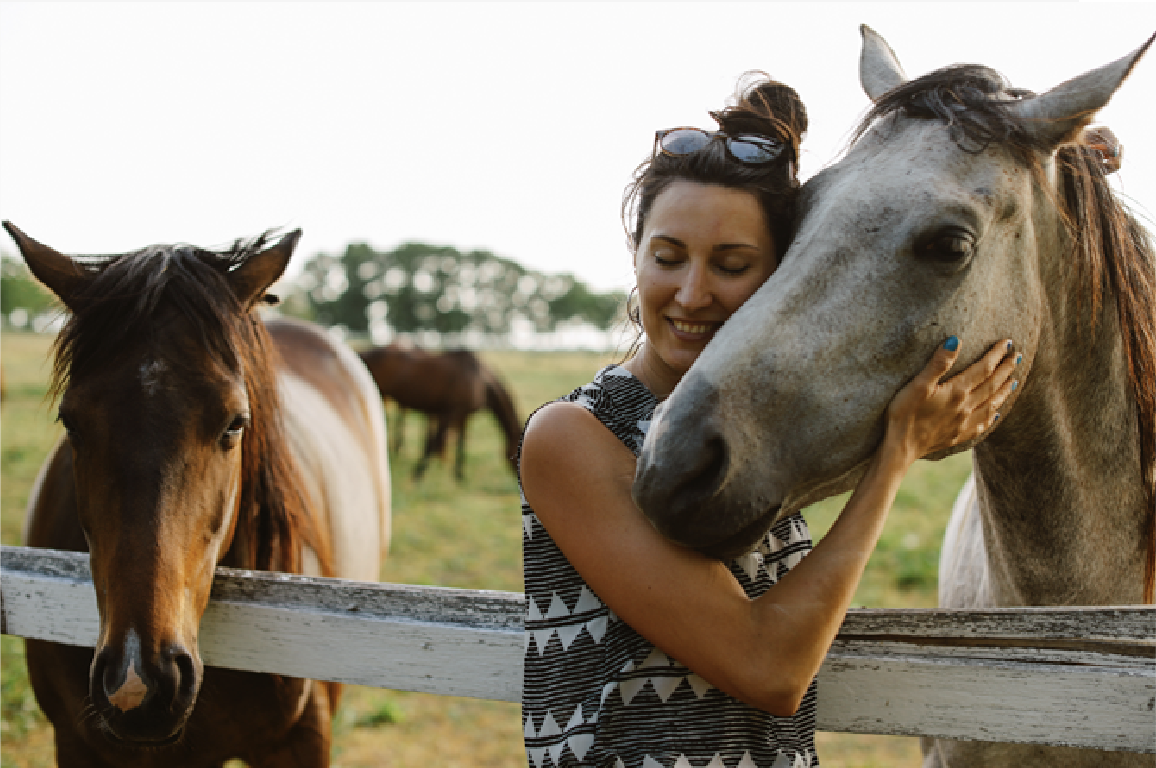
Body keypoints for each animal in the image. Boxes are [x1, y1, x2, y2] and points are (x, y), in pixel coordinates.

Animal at [359, 343, 521, 481]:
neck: (479, 380)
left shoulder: (464, 416)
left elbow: (461, 443)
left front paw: (459, 476)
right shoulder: (450, 413)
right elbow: (433, 443)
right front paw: (417, 476)